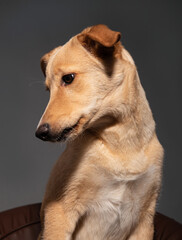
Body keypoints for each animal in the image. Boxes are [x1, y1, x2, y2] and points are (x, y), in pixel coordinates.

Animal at [35, 24, 164, 240]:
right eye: (48, 90)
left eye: (68, 78)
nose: (40, 133)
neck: (121, 142)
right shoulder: (60, 209)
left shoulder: (145, 216)